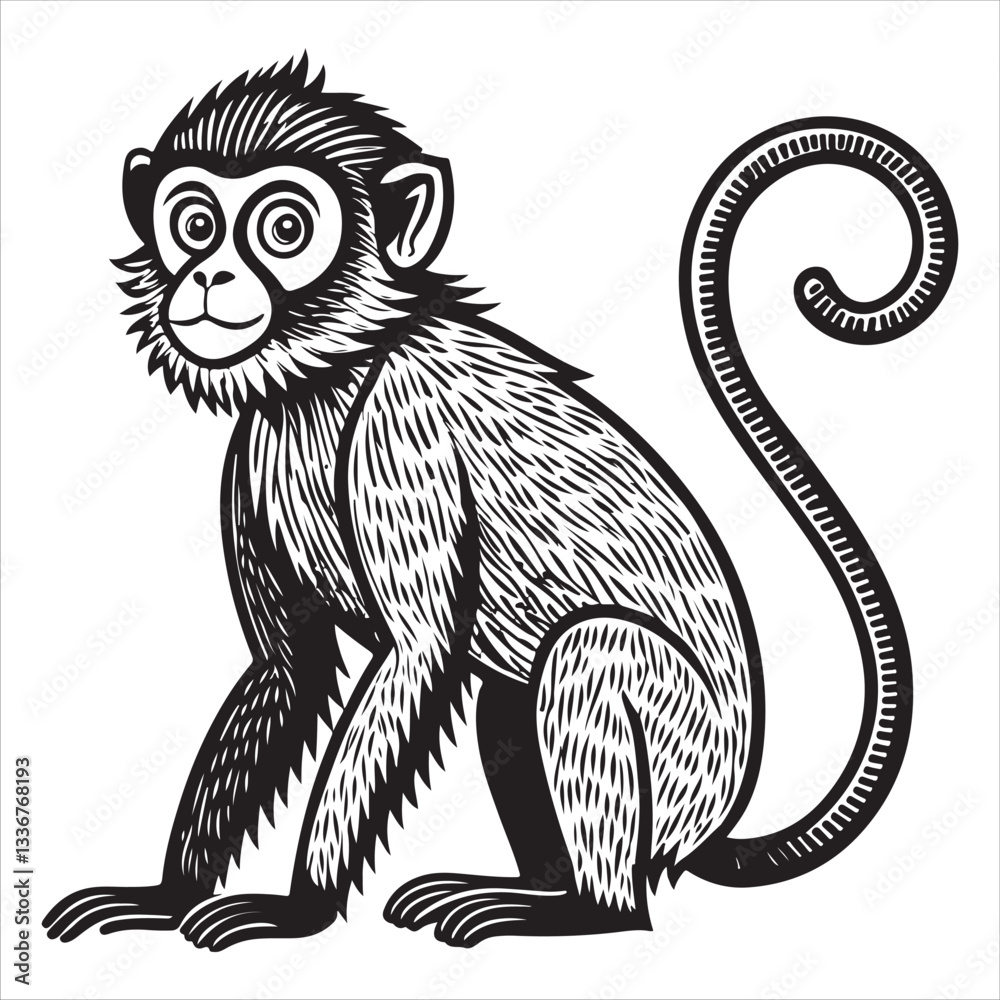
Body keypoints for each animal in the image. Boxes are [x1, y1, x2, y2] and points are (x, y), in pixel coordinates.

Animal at [44, 59, 957, 950]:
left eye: (284, 230)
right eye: (196, 224)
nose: (211, 275)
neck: (337, 372)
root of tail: (714, 822)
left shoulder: (403, 425)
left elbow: (414, 654)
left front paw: (299, 909)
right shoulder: (253, 453)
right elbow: (288, 670)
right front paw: (166, 896)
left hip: (685, 754)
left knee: (586, 655)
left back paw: (585, 909)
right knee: (509, 701)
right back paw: (540, 886)